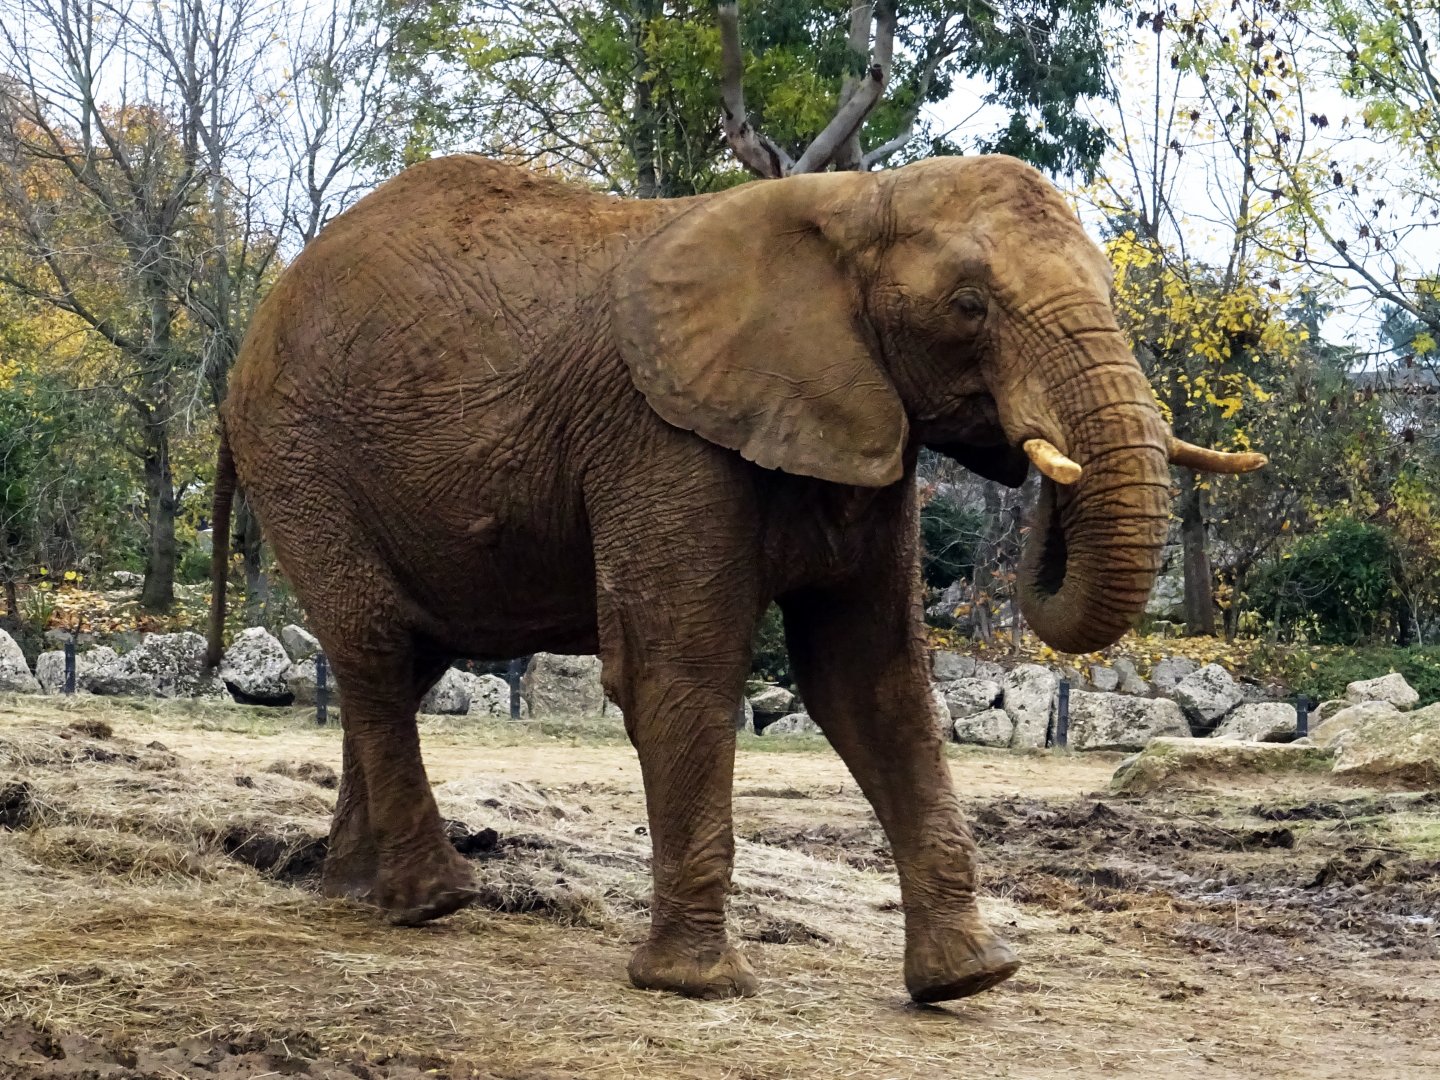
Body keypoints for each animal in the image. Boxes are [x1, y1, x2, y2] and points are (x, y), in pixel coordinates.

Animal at [207, 153, 1263, 1003]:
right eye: (971, 306)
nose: (1032, 455)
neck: (850, 203)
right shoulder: (659, 436)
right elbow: (680, 668)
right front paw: (698, 987)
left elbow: (871, 681)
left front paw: (969, 981)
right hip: (300, 457)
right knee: (380, 648)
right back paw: (435, 903)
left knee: (394, 658)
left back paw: (360, 894)